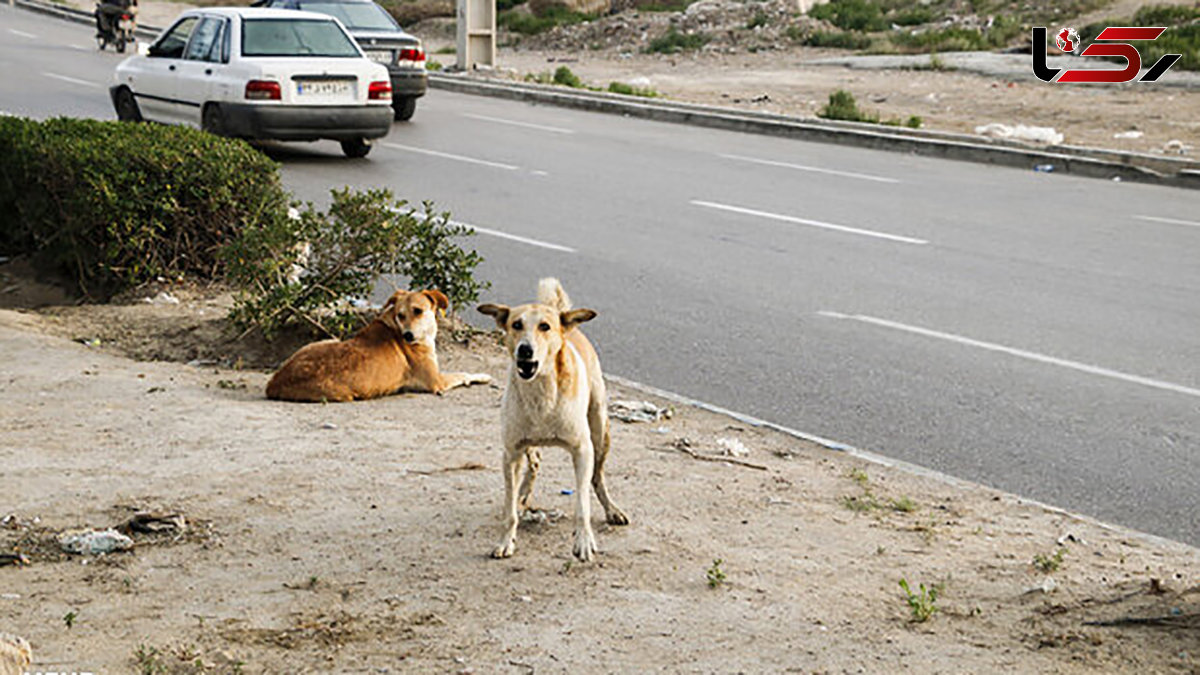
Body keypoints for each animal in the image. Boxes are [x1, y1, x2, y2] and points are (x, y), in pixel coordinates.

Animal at [267, 288, 492, 401]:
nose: (407, 336)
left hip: (324, 341)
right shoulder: (437, 381)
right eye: (401, 315)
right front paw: (483, 376)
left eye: (418, 311)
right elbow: (463, 373)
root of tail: (275, 383)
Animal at [477, 276, 633, 559]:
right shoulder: (510, 452)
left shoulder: (582, 450)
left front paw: (584, 541)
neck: (541, 392)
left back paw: (611, 509)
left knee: (597, 477)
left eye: (545, 327)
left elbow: (582, 503)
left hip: (600, 430)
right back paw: (523, 495)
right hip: (526, 445)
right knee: (534, 462)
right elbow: (509, 509)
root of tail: (567, 321)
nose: (525, 350)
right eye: (516, 324)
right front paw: (506, 539)